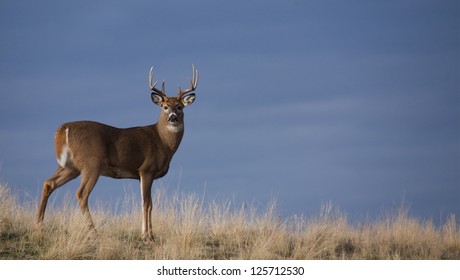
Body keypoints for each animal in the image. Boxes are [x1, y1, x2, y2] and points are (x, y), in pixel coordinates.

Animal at [36, 65, 199, 241]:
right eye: (165, 107)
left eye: (180, 107)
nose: (173, 117)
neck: (163, 141)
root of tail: (63, 129)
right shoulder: (146, 169)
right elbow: (147, 203)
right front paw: (148, 236)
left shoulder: (140, 175)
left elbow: (146, 203)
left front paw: (146, 233)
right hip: (92, 164)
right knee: (81, 194)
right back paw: (94, 232)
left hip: (70, 166)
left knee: (49, 183)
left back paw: (38, 225)